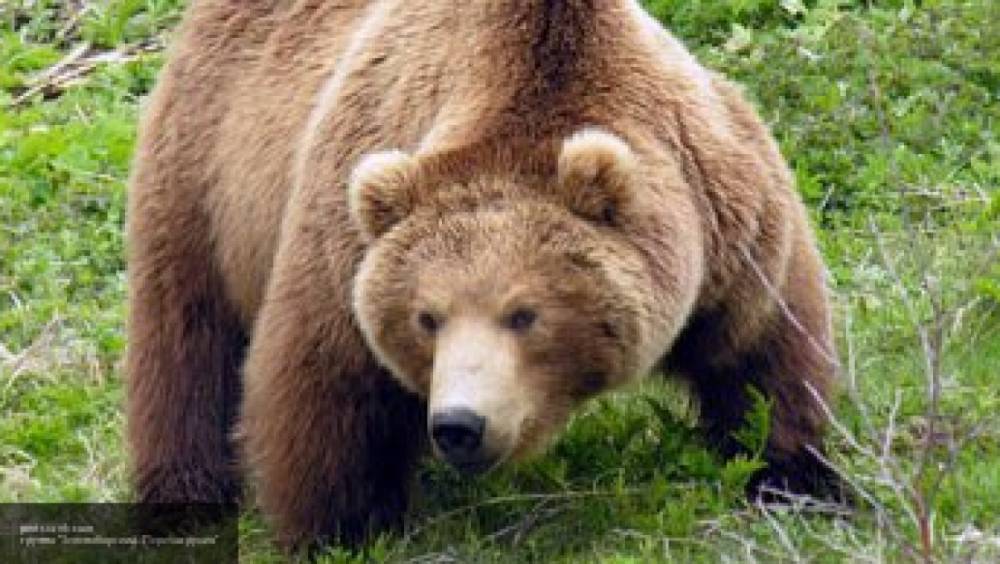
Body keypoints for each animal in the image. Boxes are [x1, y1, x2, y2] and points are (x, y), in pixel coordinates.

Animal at [126, 0, 840, 552]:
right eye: (426, 316)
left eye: (524, 313)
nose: (459, 425)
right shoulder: (343, 236)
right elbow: (326, 382)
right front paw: (342, 529)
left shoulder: (722, 213)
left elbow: (763, 347)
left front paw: (797, 479)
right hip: (205, 171)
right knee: (186, 338)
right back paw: (183, 499)